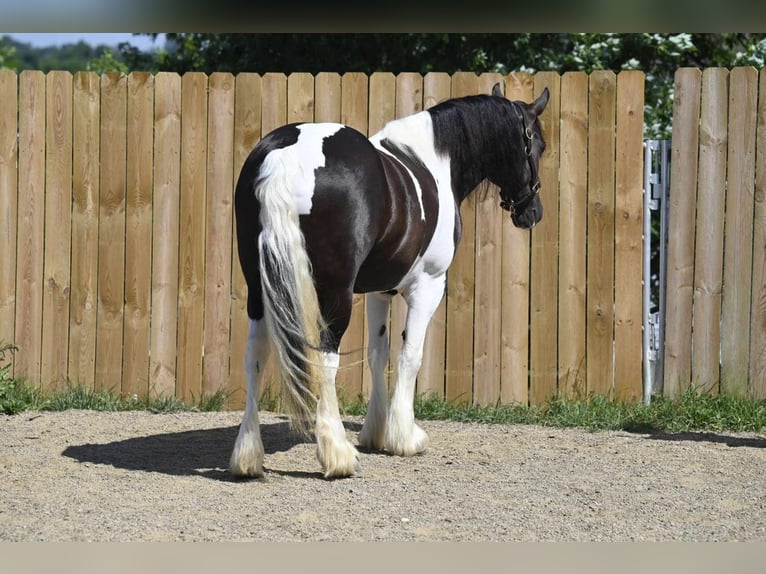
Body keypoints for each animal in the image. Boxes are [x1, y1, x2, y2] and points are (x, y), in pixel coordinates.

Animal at [231, 83, 548, 480]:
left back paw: (247, 456)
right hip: (334, 294)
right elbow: (410, 354)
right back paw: (337, 455)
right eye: (537, 144)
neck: (434, 160)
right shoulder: (428, 286)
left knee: (254, 356)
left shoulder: (379, 292)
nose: (532, 212)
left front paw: (376, 432)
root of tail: (286, 157)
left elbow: (377, 354)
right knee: (326, 361)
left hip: (258, 290)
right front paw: (404, 437)